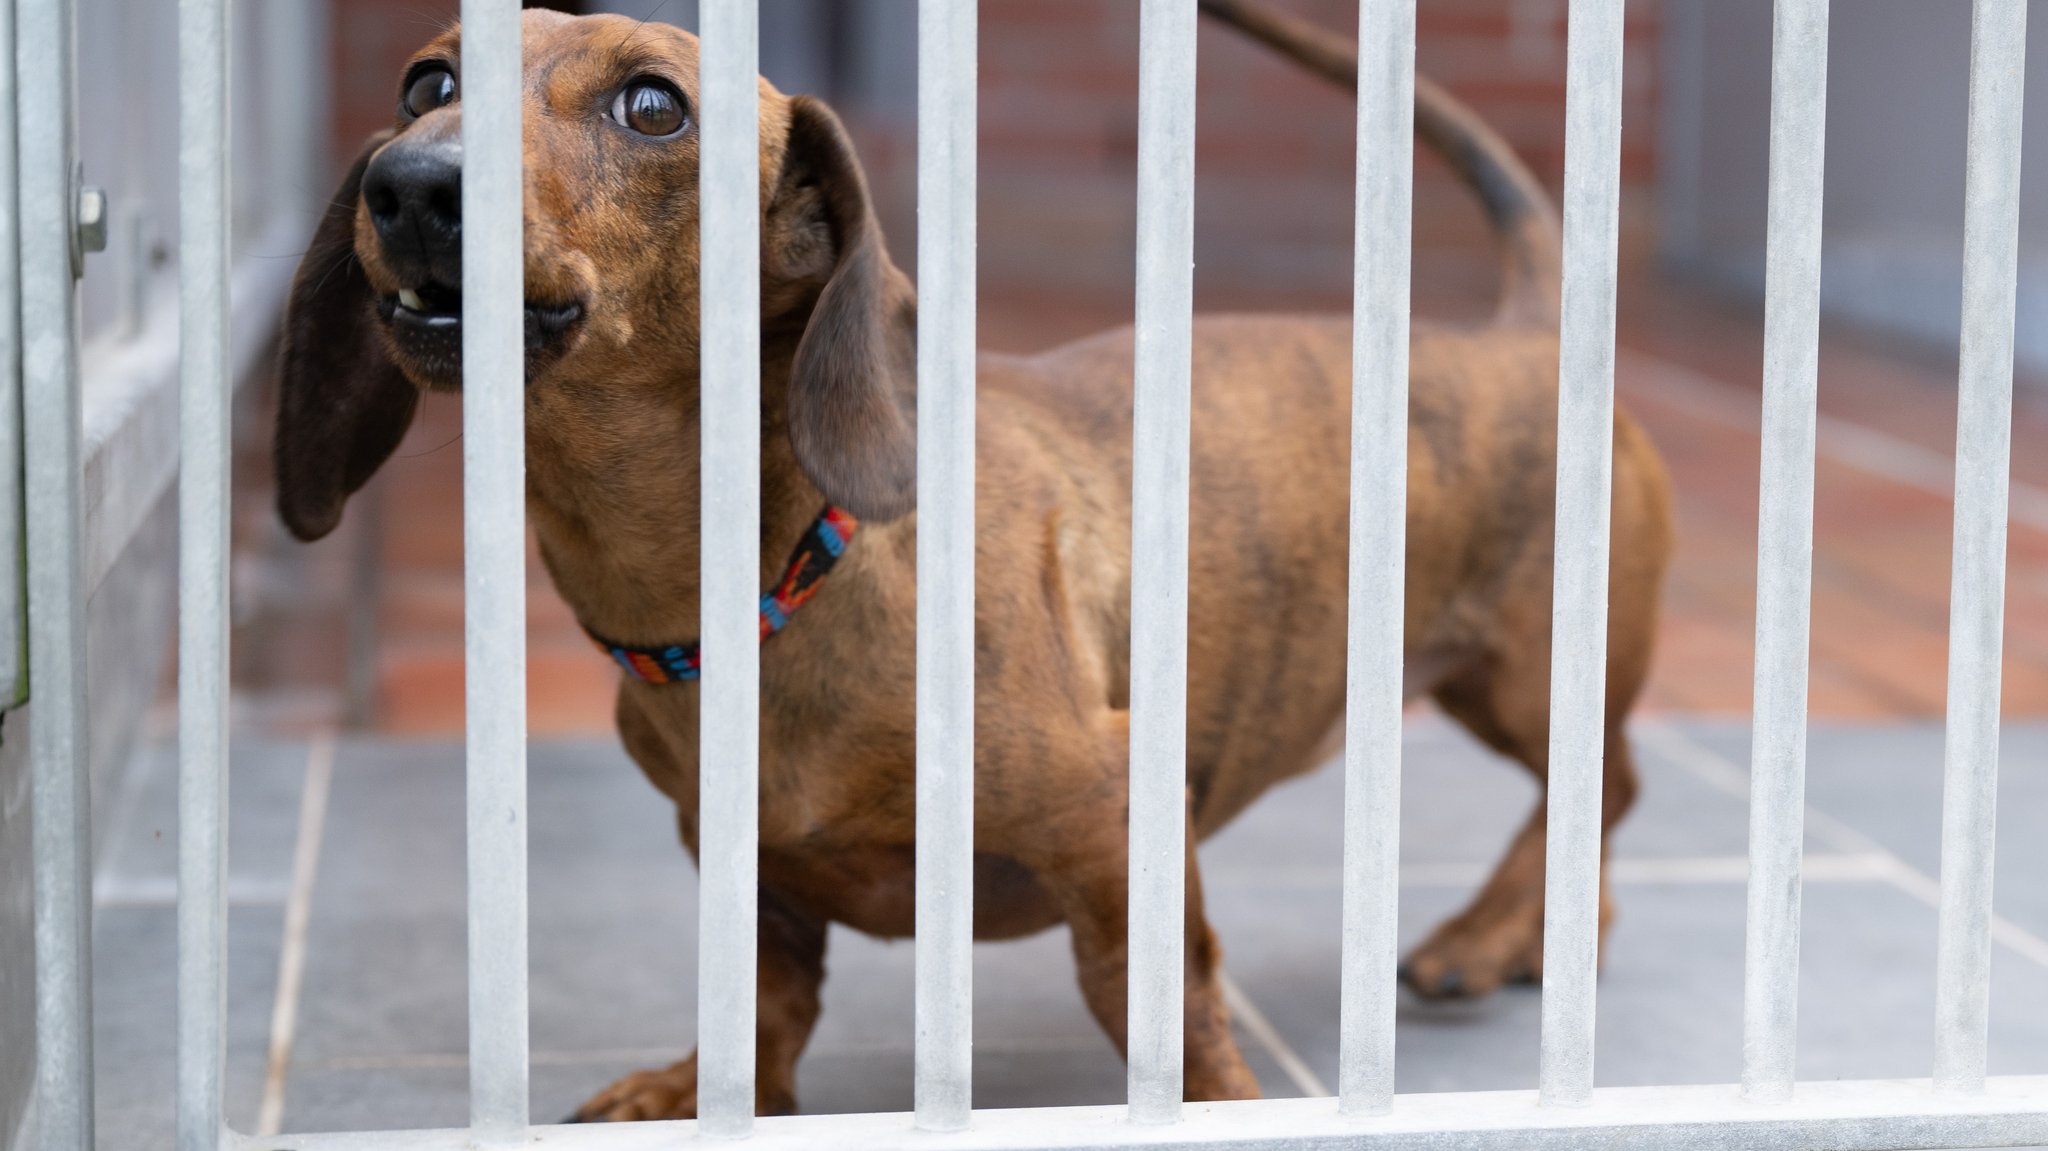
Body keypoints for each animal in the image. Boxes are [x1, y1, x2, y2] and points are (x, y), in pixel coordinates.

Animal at [276, 0, 1662, 1114]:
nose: (408, 184)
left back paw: (1491, 932)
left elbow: (1167, 1007)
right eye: (426, 82)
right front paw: (694, 1091)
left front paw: (1218, 1101)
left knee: (1601, 787)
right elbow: (764, 1010)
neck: (772, 582)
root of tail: (1521, 327)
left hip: (1528, 678)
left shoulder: (1115, 815)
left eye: (653, 105)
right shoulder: (742, 870)